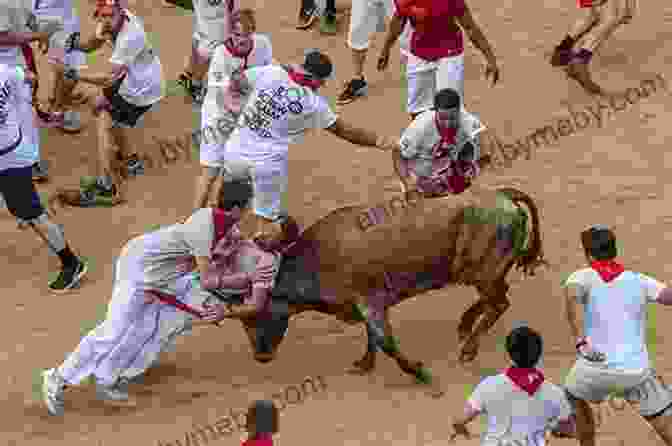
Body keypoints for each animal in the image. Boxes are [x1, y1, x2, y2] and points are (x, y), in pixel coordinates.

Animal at [239, 183, 548, 388]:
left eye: (257, 315)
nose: (260, 356)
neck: (318, 257)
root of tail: (503, 195)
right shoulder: (367, 306)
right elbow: (373, 338)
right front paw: (365, 364)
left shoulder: (371, 302)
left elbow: (385, 341)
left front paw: (421, 373)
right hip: (484, 274)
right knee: (497, 297)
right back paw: (464, 325)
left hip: (483, 273)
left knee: (500, 303)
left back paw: (468, 349)